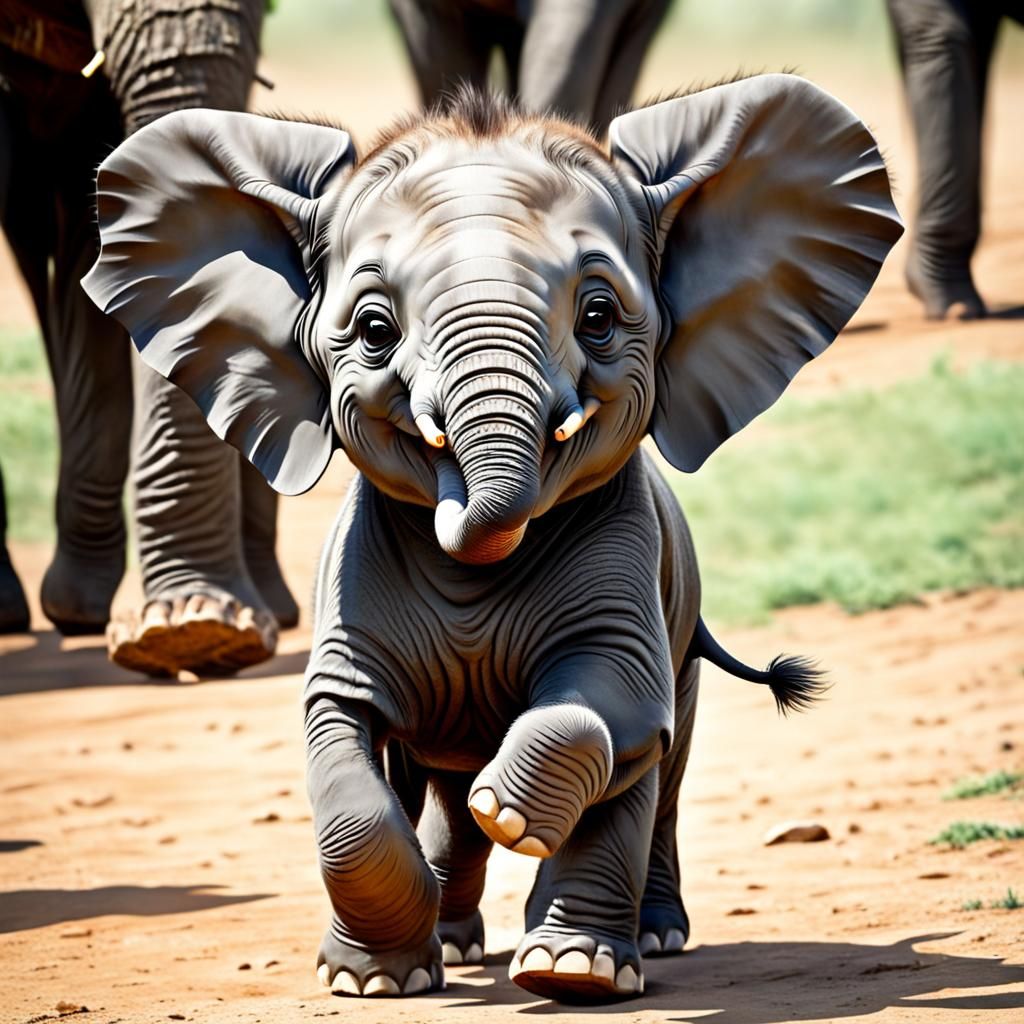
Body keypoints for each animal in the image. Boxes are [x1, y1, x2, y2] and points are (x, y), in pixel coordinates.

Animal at [83, 75, 902, 1002]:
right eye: (375, 331)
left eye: (597, 317)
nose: (461, 505)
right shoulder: (348, 606)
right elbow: (346, 754)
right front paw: (370, 982)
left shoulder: (630, 580)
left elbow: (610, 706)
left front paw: (513, 821)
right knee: (441, 789)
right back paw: (458, 942)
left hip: (684, 625)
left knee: (659, 776)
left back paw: (608, 956)